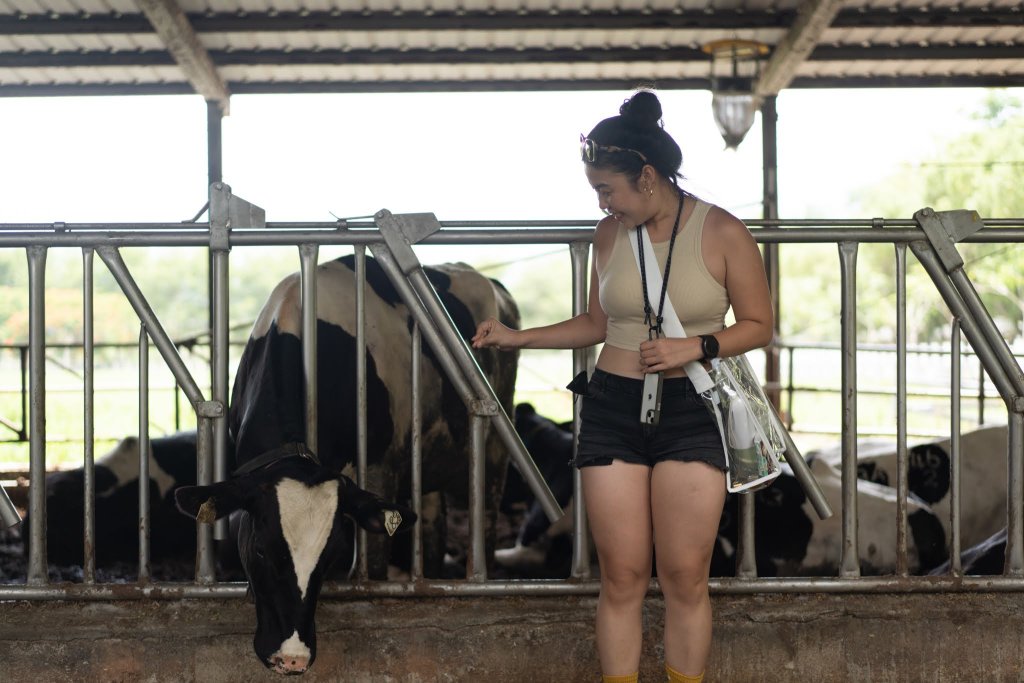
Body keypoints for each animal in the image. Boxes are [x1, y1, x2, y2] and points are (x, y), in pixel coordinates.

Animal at [175, 254, 520, 671]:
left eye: (331, 555)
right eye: (259, 549)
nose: (292, 658)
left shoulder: (379, 466)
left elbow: (371, 565)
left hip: (496, 443)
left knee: (485, 516)